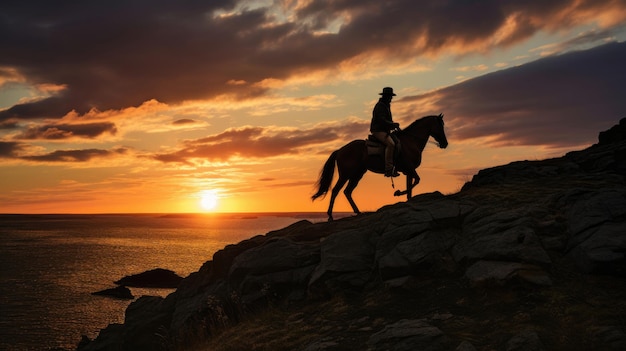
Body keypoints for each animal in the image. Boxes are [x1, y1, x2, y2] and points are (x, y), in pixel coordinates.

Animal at [310, 114, 446, 221]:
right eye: (441, 126)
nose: (445, 143)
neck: (411, 141)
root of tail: (339, 150)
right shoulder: (410, 168)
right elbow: (416, 181)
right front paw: (398, 193)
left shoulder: (409, 171)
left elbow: (410, 188)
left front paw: (408, 200)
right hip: (346, 175)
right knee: (336, 190)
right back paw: (330, 215)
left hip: (357, 175)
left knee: (347, 191)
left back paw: (358, 212)